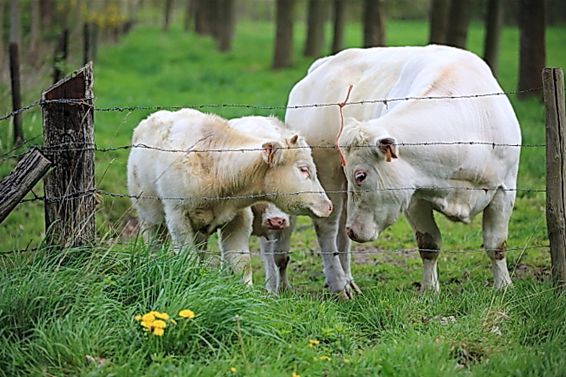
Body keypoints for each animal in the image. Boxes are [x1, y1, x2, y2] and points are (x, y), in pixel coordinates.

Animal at [128, 107, 332, 284]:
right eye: (303, 169)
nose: (328, 206)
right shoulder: (177, 218)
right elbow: (187, 258)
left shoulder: (238, 220)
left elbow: (241, 264)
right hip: (150, 219)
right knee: (155, 246)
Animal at [288, 44, 524, 294]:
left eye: (360, 176)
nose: (355, 230)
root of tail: (324, 63)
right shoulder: (414, 198)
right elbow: (429, 245)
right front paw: (430, 291)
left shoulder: (505, 189)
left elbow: (496, 245)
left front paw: (504, 286)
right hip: (326, 176)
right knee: (327, 228)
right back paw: (339, 285)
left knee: (341, 234)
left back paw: (350, 282)